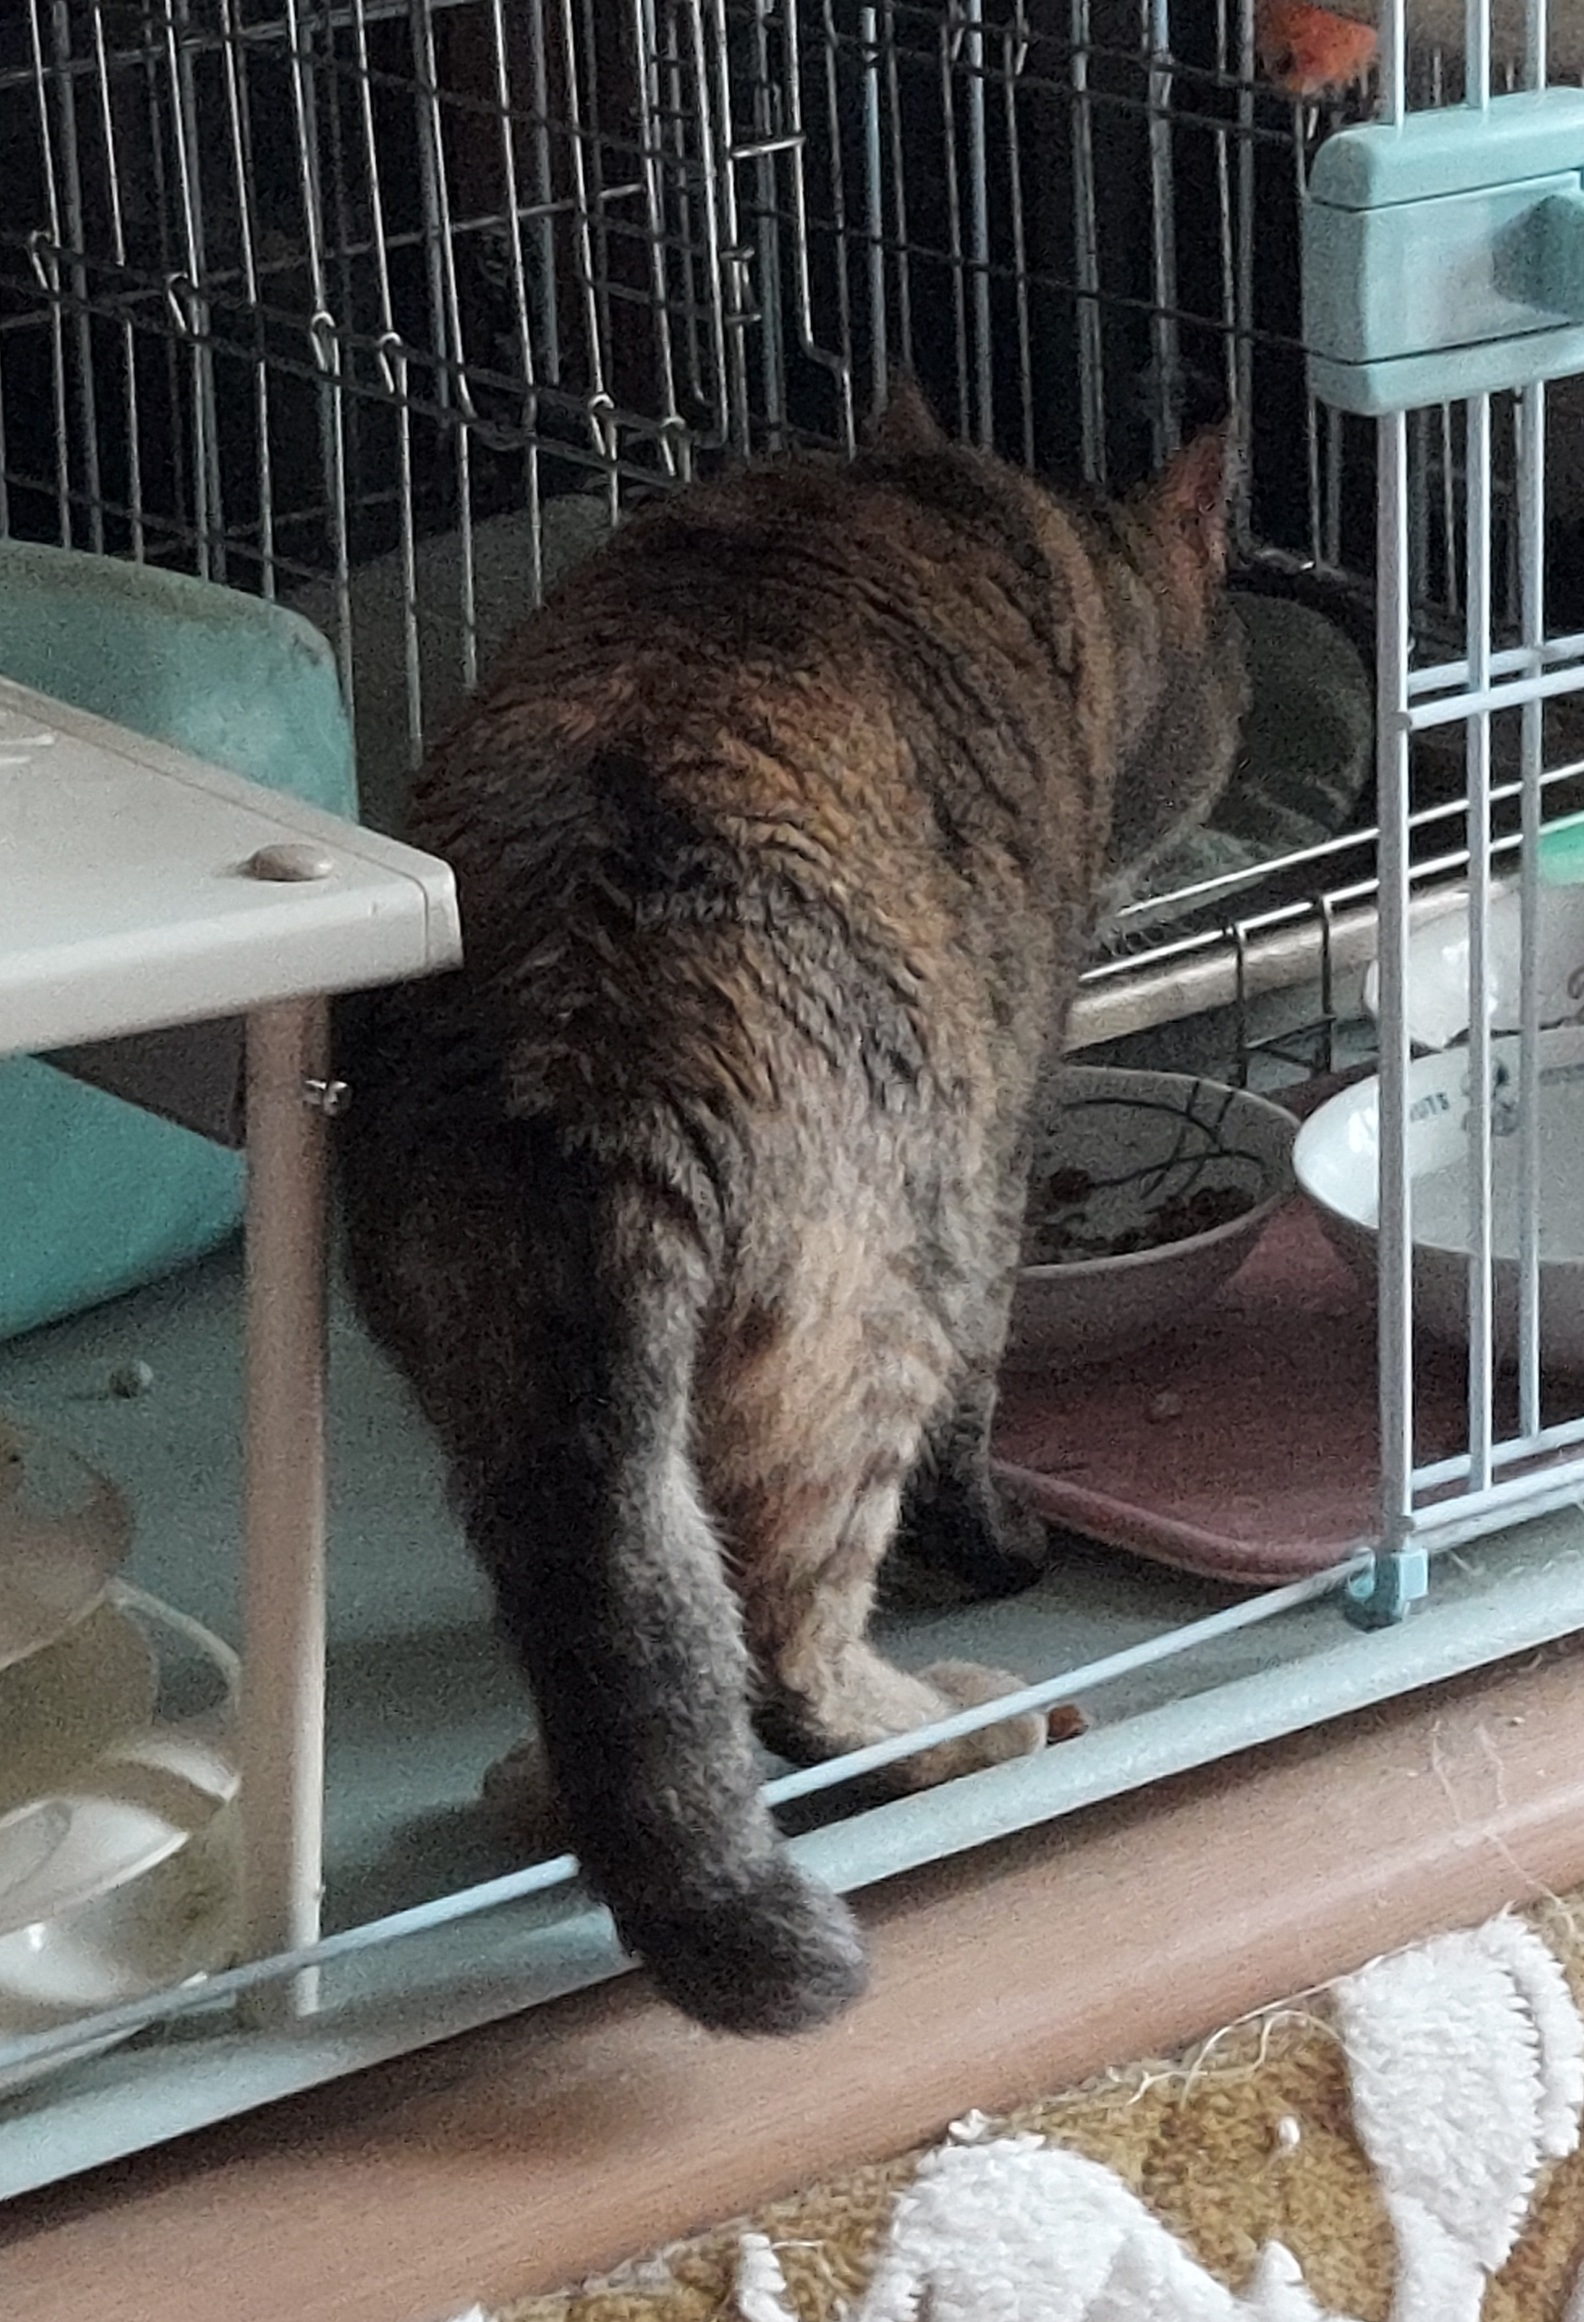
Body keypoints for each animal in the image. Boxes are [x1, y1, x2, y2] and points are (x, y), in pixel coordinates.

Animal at [336, 384, 1247, 2038]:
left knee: (633, 1630)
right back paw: (967, 1720)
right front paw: (1001, 1551)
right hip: (884, 1284)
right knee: (790, 1662)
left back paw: (544, 1785)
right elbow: (974, 1432)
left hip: (496, 1382)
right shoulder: (997, 1160)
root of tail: (584, 1055)